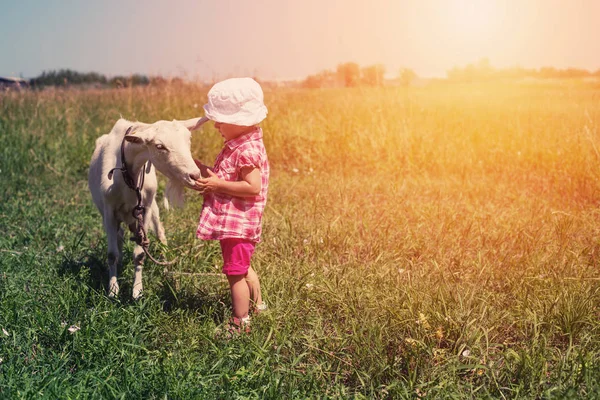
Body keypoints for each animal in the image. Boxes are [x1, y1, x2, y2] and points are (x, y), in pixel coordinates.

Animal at [88, 117, 207, 298]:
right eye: (159, 146)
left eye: (189, 139)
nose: (194, 175)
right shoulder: (108, 212)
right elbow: (112, 254)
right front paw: (113, 289)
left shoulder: (144, 209)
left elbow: (140, 254)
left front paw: (137, 290)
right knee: (119, 236)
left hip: (153, 209)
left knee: (161, 234)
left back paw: (165, 269)